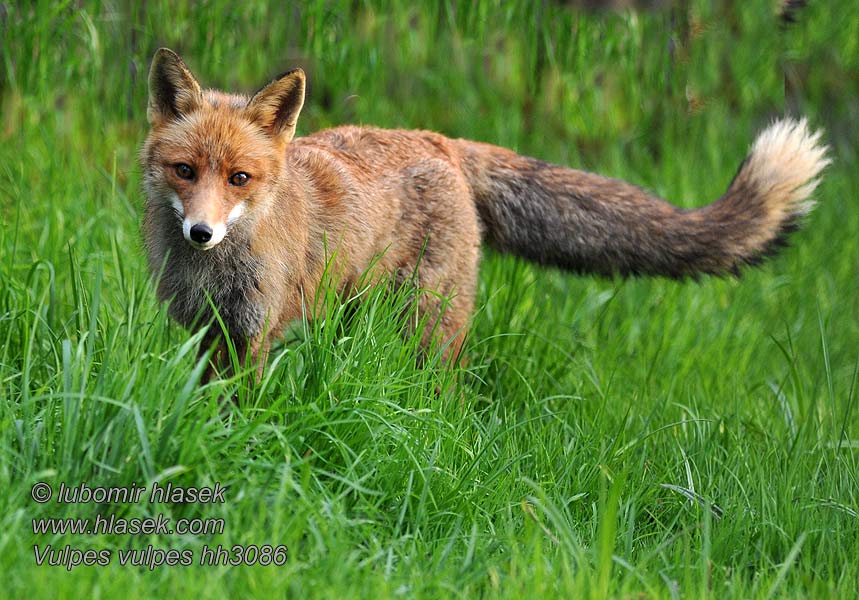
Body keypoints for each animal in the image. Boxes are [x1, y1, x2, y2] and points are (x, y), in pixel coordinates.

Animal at [143, 50, 832, 380]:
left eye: (240, 179)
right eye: (185, 171)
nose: (201, 232)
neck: (213, 272)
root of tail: (439, 139)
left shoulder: (254, 335)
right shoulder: (198, 331)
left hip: (427, 326)